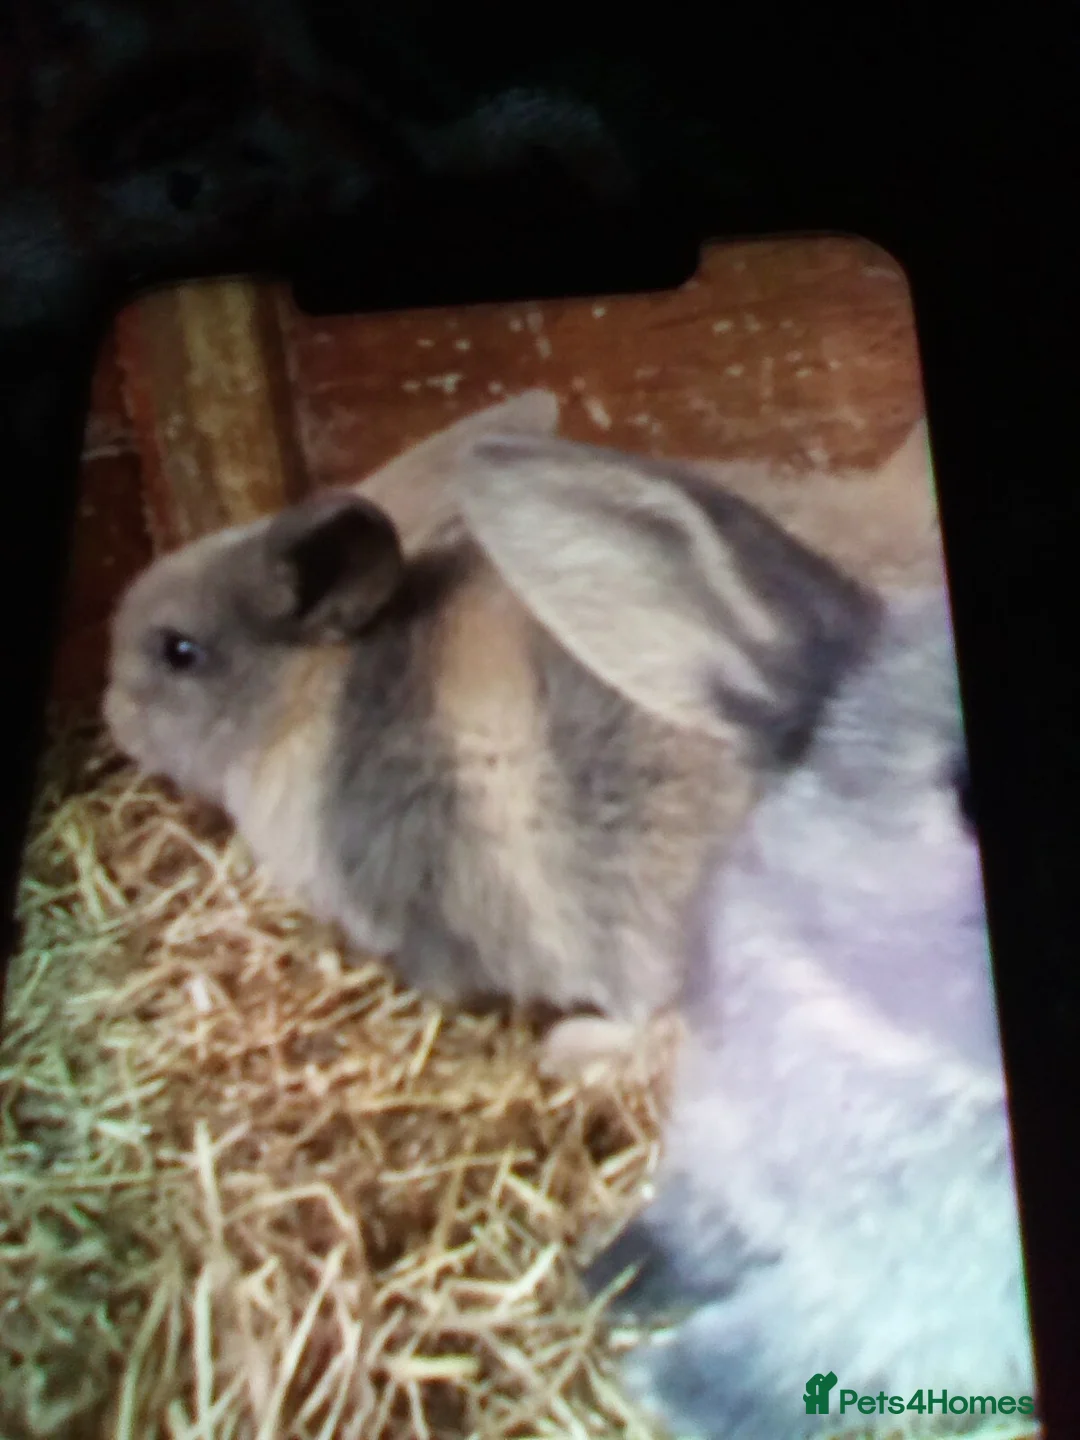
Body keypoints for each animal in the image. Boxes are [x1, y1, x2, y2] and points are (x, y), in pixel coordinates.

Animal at [452, 431, 1037, 1437]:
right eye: (969, 794)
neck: (873, 1029)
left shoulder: (910, 1301)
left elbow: (789, 1344)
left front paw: (662, 1388)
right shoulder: (722, 1166)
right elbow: (697, 1228)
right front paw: (614, 1275)